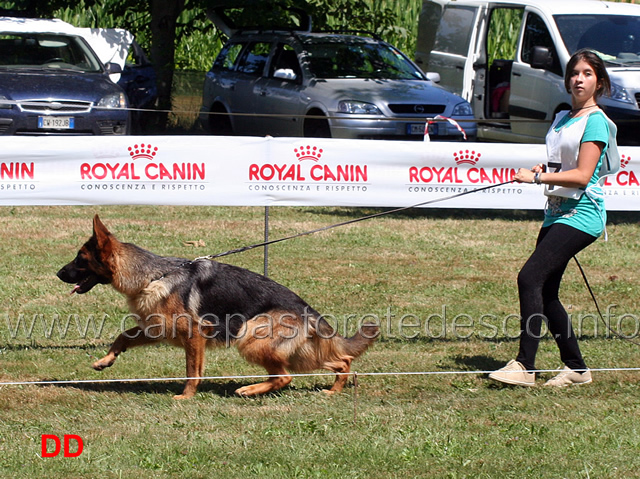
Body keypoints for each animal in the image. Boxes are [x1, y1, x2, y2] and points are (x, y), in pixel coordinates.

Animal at [57, 216, 378, 400]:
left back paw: (248, 390)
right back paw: (333, 389)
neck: (152, 276)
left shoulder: (193, 336)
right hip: (299, 354)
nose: (58, 274)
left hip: (251, 338)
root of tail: (307, 309)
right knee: (341, 361)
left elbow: (192, 371)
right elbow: (123, 335)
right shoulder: (157, 329)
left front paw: (186, 398)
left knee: (284, 377)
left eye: (80, 258)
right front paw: (105, 361)